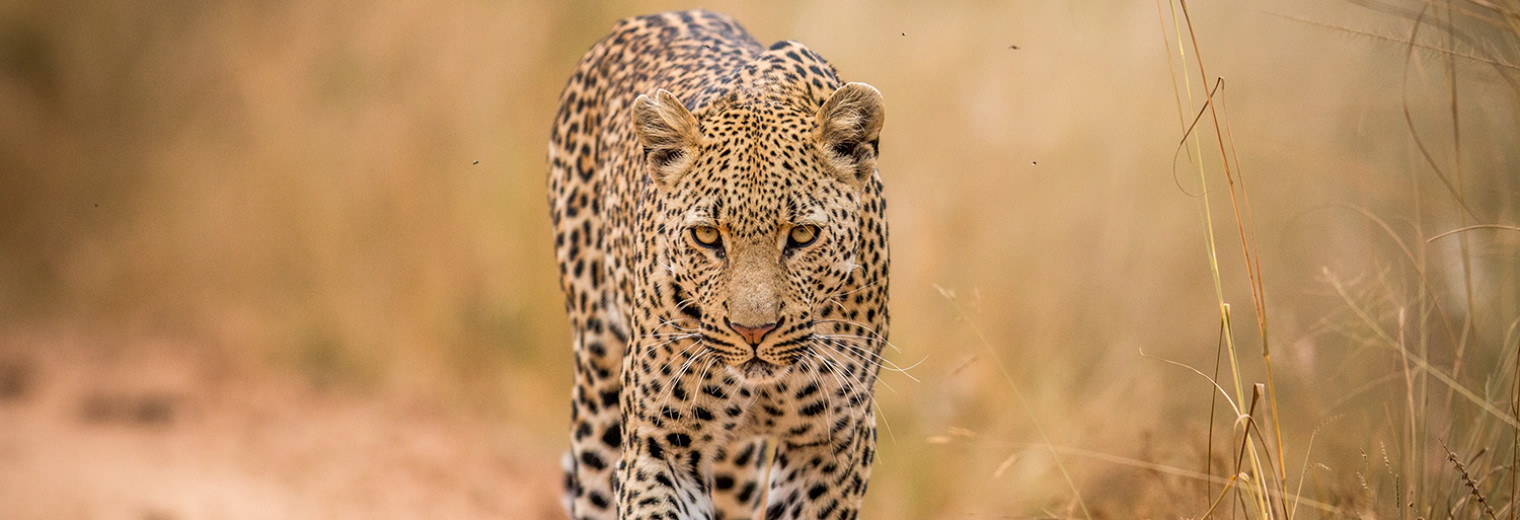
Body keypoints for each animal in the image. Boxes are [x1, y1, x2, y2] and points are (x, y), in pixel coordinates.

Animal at [550, 9, 887, 520]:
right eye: (707, 236)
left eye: (802, 235)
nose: (753, 333)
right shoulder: (659, 443)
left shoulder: (834, 442)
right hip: (597, 387)